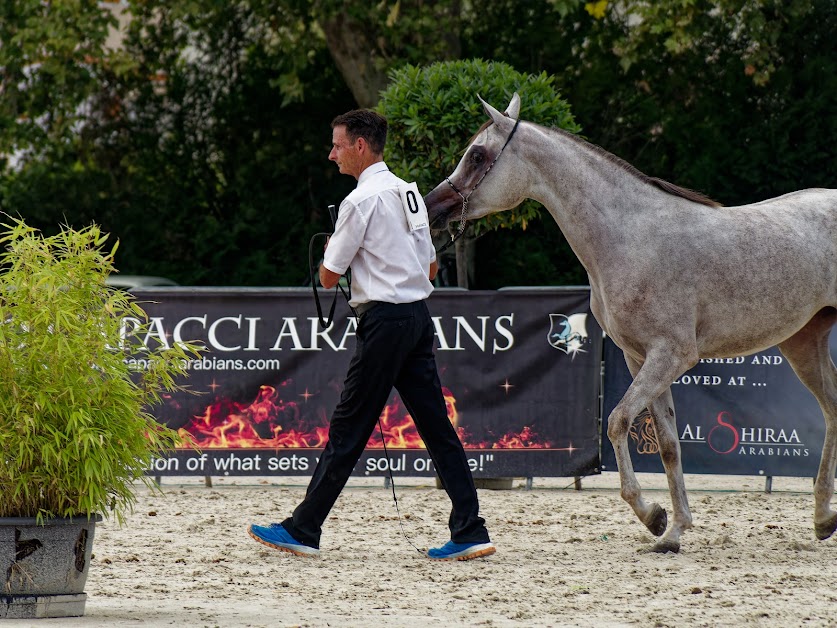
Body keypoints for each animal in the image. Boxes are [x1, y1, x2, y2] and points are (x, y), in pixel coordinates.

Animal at [424, 93, 836, 556]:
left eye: (477, 155)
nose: (433, 205)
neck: (631, 238)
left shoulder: (670, 356)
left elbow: (618, 420)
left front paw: (652, 515)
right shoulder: (641, 359)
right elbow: (669, 445)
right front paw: (673, 531)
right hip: (803, 344)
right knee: (833, 411)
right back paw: (824, 518)